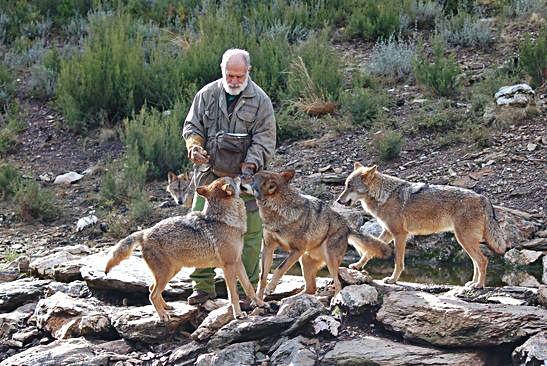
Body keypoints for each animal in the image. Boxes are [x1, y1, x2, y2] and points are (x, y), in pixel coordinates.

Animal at [105, 177, 266, 320]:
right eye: (233, 178)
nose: (241, 175)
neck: (224, 220)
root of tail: (145, 232)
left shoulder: (237, 262)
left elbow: (249, 287)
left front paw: (260, 303)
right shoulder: (228, 266)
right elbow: (233, 295)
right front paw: (238, 314)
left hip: (171, 272)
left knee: (151, 288)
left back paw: (166, 307)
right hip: (166, 274)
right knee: (152, 294)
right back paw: (163, 315)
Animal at [242, 170, 392, 298]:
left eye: (251, 178)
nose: (241, 175)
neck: (279, 210)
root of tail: (348, 227)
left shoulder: (297, 250)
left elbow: (279, 268)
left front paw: (270, 289)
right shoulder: (268, 247)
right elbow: (263, 276)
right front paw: (258, 300)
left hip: (328, 259)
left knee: (337, 285)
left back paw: (336, 299)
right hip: (304, 260)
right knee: (311, 289)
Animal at [338, 163, 510, 288]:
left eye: (350, 186)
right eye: (345, 185)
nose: (338, 201)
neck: (383, 196)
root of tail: (483, 198)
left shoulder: (400, 234)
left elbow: (398, 261)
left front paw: (393, 280)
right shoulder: (388, 232)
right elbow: (370, 250)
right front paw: (357, 266)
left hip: (464, 239)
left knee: (483, 261)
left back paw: (479, 285)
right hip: (465, 240)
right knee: (476, 262)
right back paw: (472, 283)